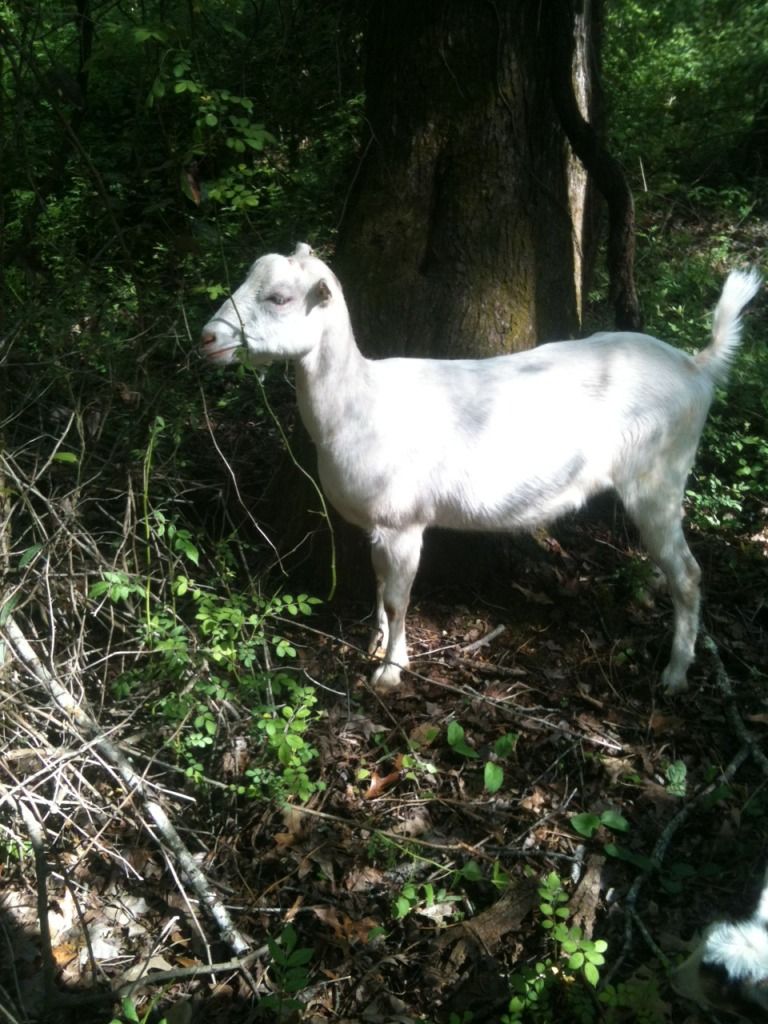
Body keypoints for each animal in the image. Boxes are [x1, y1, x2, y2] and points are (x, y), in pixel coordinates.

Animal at [200, 242, 760, 694]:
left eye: (279, 298)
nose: (208, 338)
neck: (358, 403)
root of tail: (696, 367)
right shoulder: (379, 525)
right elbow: (380, 587)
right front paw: (375, 642)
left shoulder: (403, 522)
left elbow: (399, 598)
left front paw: (390, 670)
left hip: (660, 473)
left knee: (689, 572)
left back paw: (675, 673)